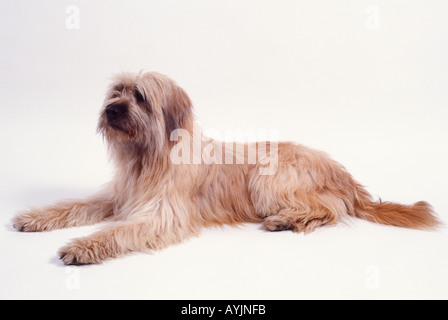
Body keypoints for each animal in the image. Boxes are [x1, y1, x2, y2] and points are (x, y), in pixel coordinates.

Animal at [12, 72, 440, 264]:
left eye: (141, 97)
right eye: (116, 91)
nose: (112, 110)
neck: (147, 158)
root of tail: (342, 173)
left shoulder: (161, 215)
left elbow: (120, 230)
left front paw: (82, 246)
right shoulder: (118, 197)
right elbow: (73, 205)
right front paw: (34, 218)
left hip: (270, 178)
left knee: (329, 209)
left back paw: (286, 220)